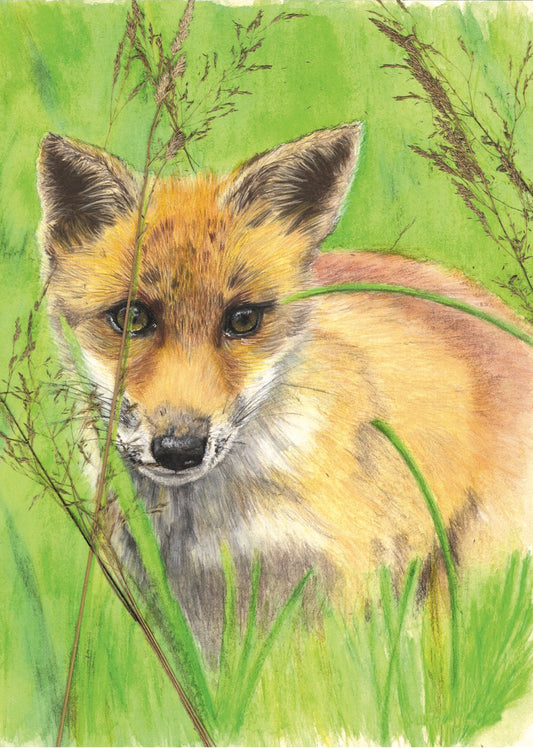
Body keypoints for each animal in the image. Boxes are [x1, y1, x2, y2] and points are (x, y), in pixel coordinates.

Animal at [37, 123, 533, 652]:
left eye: (243, 320)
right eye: (132, 318)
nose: (179, 449)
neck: (215, 533)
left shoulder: (342, 590)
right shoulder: (190, 620)